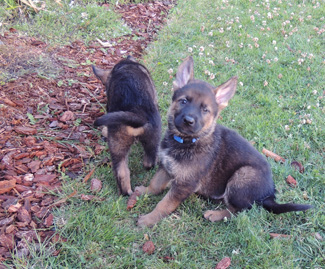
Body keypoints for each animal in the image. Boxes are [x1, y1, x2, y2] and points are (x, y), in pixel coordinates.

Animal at [92, 56, 161, 195]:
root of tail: (135, 111)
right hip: (153, 138)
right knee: (148, 163)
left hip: (119, 144)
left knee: (123, 173)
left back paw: (126, 193)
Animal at [135, 56, 312, 226]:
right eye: (183, 101)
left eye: (205, 110)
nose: (188, 120)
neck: (186, 141)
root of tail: (269, 195)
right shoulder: (166, 166)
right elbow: (155, 183)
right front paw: (144, 191)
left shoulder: (184, 184)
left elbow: (164, 204)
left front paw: (149, 219)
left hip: (242, 176)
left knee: (240, 211)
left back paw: (215, 214)